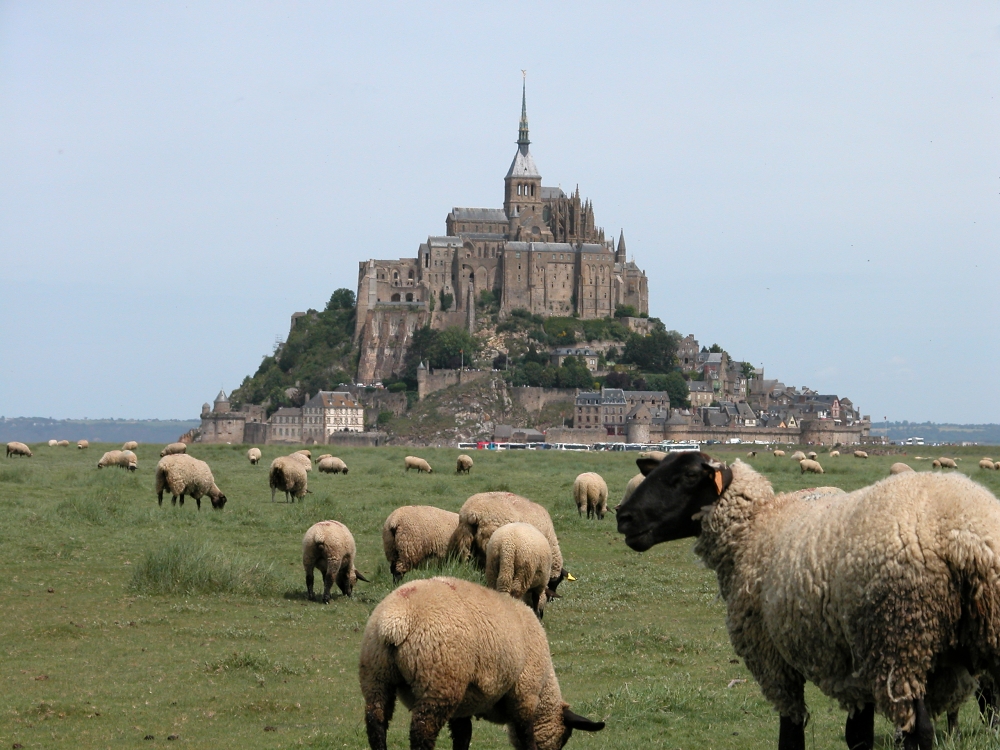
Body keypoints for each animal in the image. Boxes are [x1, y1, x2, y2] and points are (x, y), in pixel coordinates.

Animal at [362, 576, 604, 750]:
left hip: (376, 676)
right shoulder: (524, 694)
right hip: (440, 683)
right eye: (563, 740)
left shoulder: (463, 706)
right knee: (421, 733)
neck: (545, 687)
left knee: (376, 723)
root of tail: (395, 622)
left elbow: (463, 736)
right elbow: (526, 736)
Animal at [612, 452, 1000, 750]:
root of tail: (964, 538)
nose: (623, 516)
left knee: (918, 732)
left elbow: (791, 731)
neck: (754, 527)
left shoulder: (772, 657)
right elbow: (858, 735)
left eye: (689, 476)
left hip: (898, 639)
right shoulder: (852, 666)